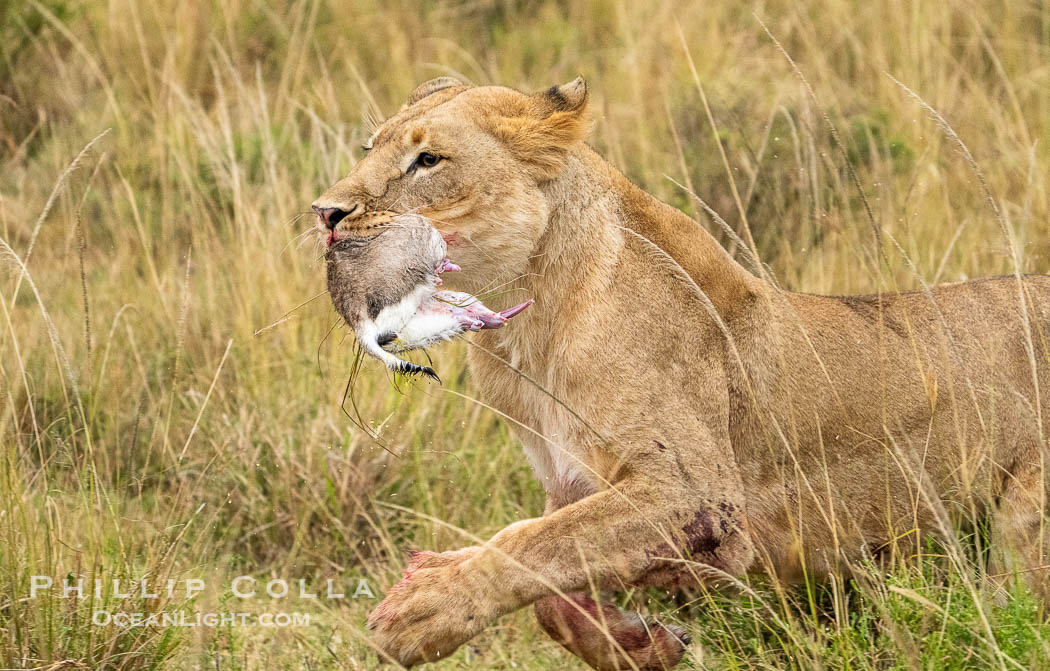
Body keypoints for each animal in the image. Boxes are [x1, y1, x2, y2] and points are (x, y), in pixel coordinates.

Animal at [312, 76, 1050, 669]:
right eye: (369, 147)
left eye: (427, 159)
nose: (326, 213)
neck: (529, 332)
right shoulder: (573, 481)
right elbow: (555, 584)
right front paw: (638, 645)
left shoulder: (700, 497)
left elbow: (538, 543)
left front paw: (423, 608)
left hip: (1023, 523)